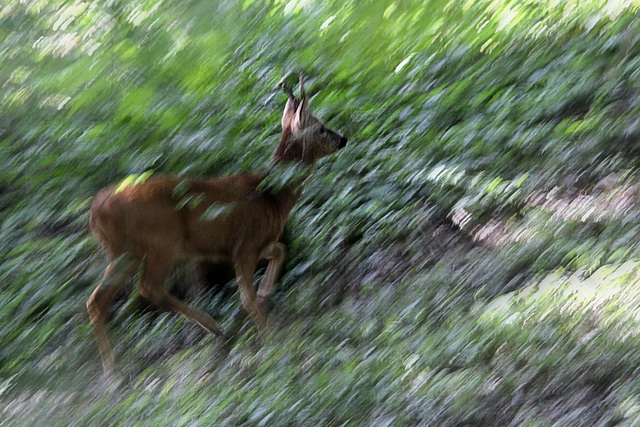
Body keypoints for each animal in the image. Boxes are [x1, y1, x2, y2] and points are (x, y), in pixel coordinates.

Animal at [87, 77, 348, 374]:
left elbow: (279, 252)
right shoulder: (245, 244)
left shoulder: (257, 242)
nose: (343, 138)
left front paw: (265, 293)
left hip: (124, 251)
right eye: (321, 128)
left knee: (96, 300)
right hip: (161, 241)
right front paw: (270, 338)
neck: (271, 196)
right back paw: (213, 328)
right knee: (147, 286)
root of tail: (95, 211)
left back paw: (114, 371)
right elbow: (246, 296)